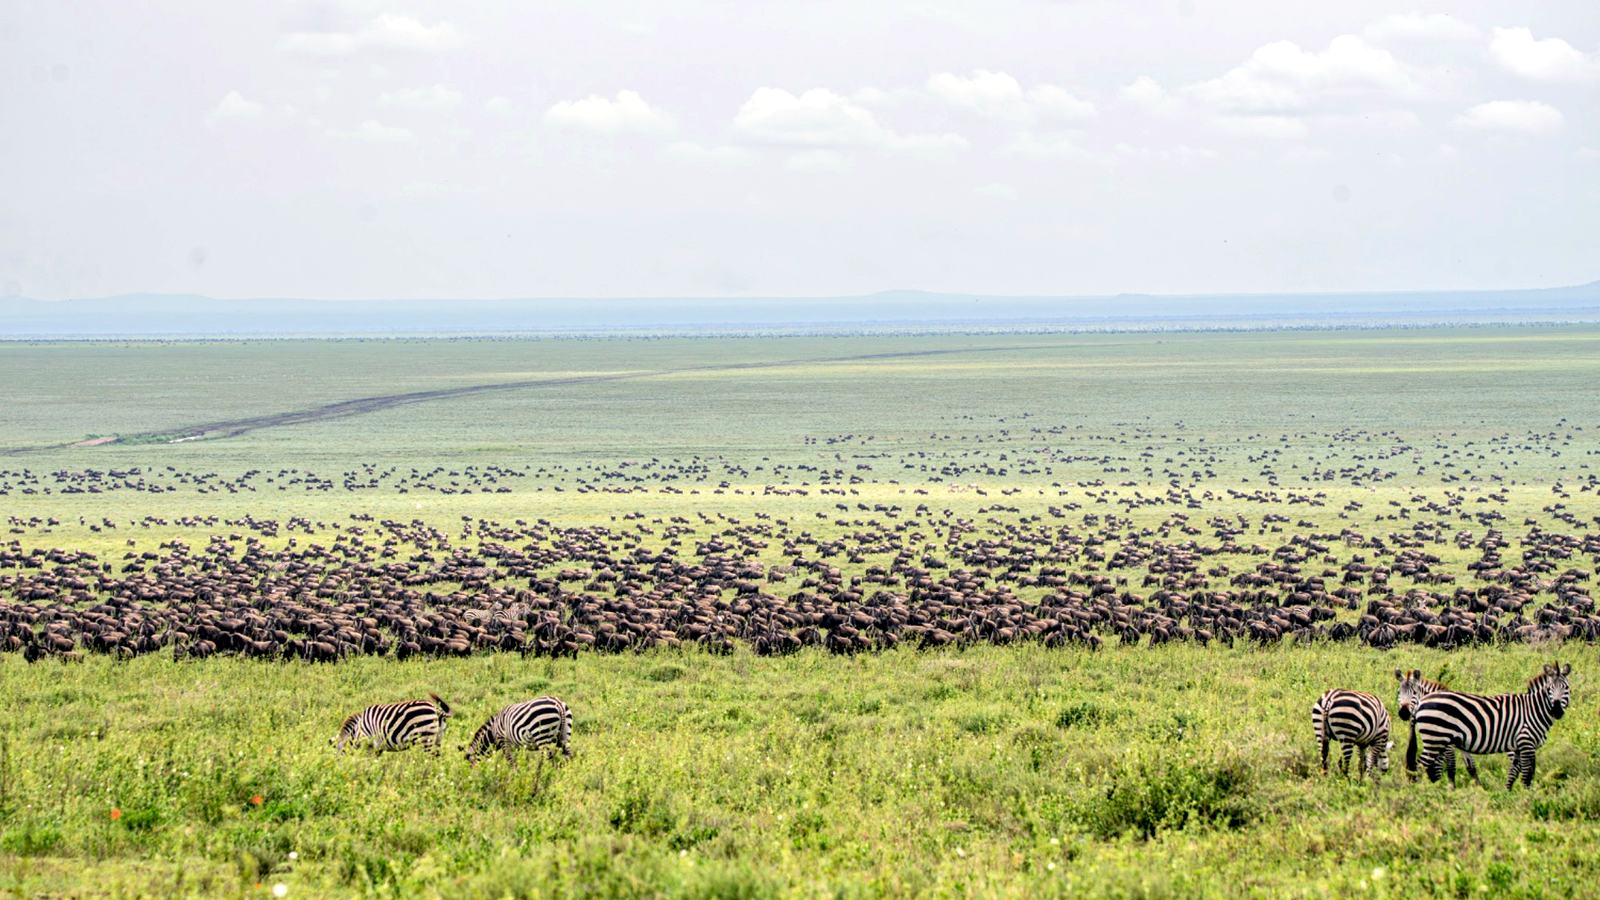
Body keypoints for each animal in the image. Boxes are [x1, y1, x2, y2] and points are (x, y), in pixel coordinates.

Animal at [1414, 662, 1572, 789]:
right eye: (1550, 688)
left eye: (1566, 688)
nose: (1557, 711)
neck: (1534, 710)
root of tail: (1422, 702)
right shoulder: (1526, 742)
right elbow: (1527, 774)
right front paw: (1527, 796)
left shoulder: (1519, 747)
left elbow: (1514, 772)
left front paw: (1507, 792)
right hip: (1435, 739)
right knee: (1419, 765)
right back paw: (1416, 792)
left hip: (1437, 740)